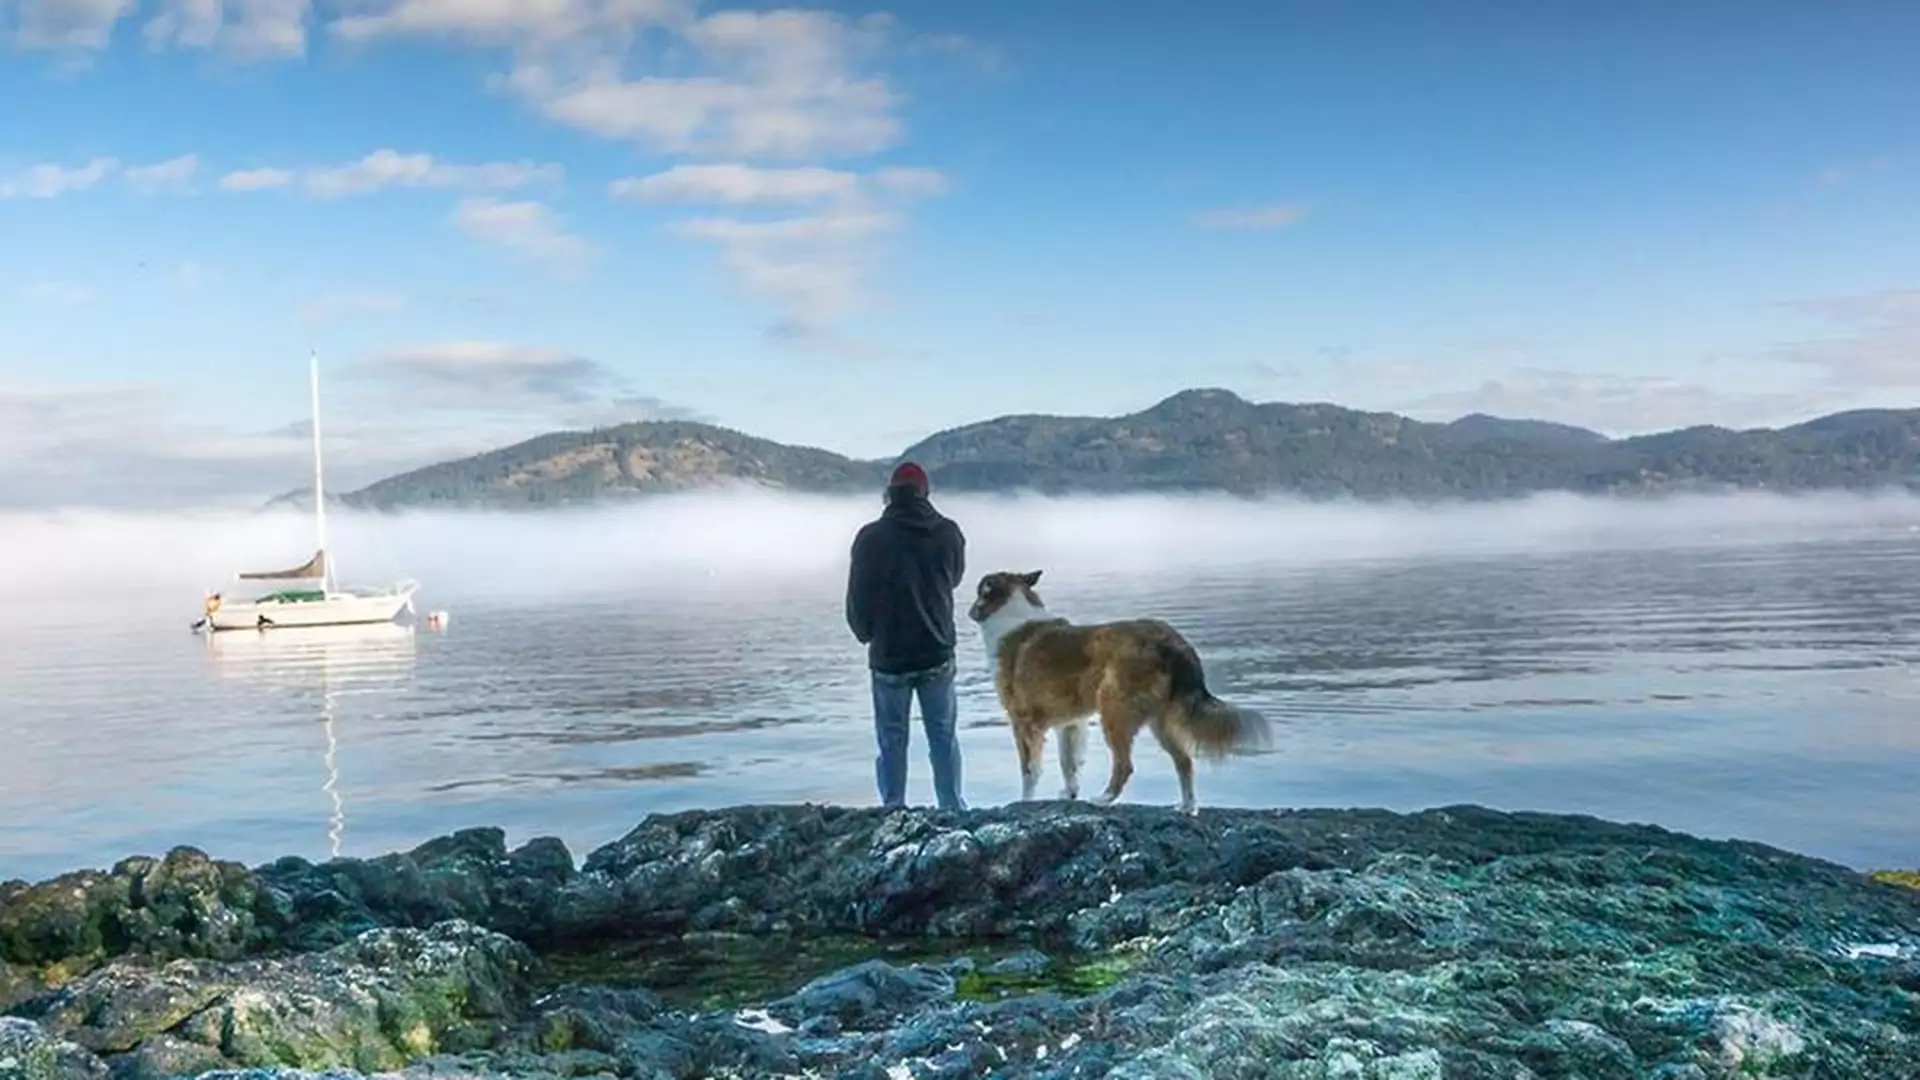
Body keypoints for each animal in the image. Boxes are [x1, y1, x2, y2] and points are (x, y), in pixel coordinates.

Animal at [967, 568, 1267, 810]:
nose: (971, 612)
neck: (1012, 613)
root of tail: (1172, 641)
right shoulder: (1070, 723)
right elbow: (1068, 763)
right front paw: (1070, 793)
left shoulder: (1023, 722)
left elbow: (1029, 770)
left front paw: (1025, 803)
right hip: (1159, 720)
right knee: (1184, 761)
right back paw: (1187, 806)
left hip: (1114, 711)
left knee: (1125, 764)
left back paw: (1104, 799)